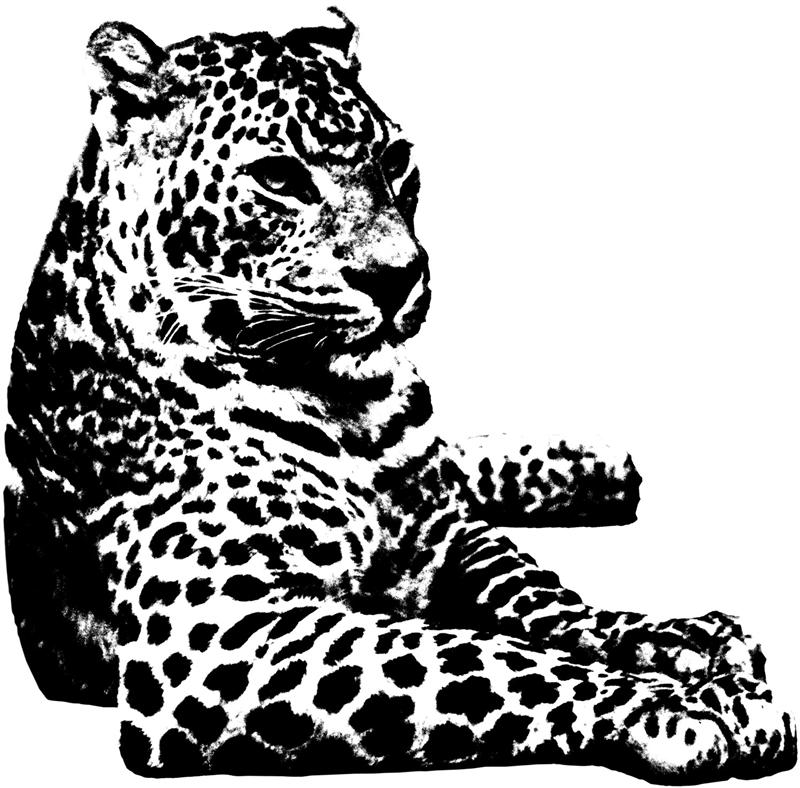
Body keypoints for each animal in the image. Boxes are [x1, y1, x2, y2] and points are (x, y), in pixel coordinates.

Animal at [4, 10, 796, 783]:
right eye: (278, 177)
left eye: (395, 161)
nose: (398, 275)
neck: (345, 404)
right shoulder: (220, 636)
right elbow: (483, 659)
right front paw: (687, 705)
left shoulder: (446, 539)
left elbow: (542, 597)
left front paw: (684, 638)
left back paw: (590, 463)